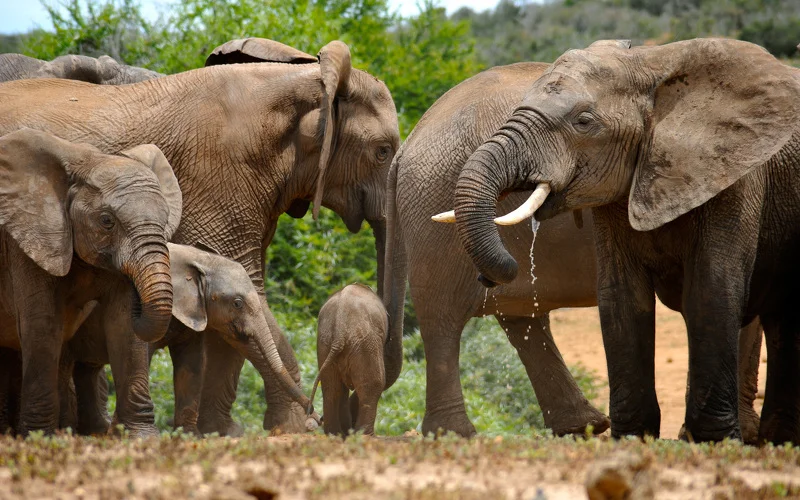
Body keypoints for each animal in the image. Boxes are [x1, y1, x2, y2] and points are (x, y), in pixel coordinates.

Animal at [0, 128, 179, 434]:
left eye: (166, 219)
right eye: (107, 221)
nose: (138, 295)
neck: (87, 160)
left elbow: (123, 327)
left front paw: (141, 437)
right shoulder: (28, 239)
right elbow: (42, 324)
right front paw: (39, 436)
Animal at [311, 284, 387, 436]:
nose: (320, 419)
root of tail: (339, 333)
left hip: (324, 344)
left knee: (331, 387)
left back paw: (335, 434)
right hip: (365, 343)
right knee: (373, 383)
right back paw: (364, 436)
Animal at [388, 60, 764, 441]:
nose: (485, 277)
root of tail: (410, 139)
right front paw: (736, 435)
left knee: (518, 316)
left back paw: (583, 425)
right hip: (432, 205)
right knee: (443, 316)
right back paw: (457, 434)